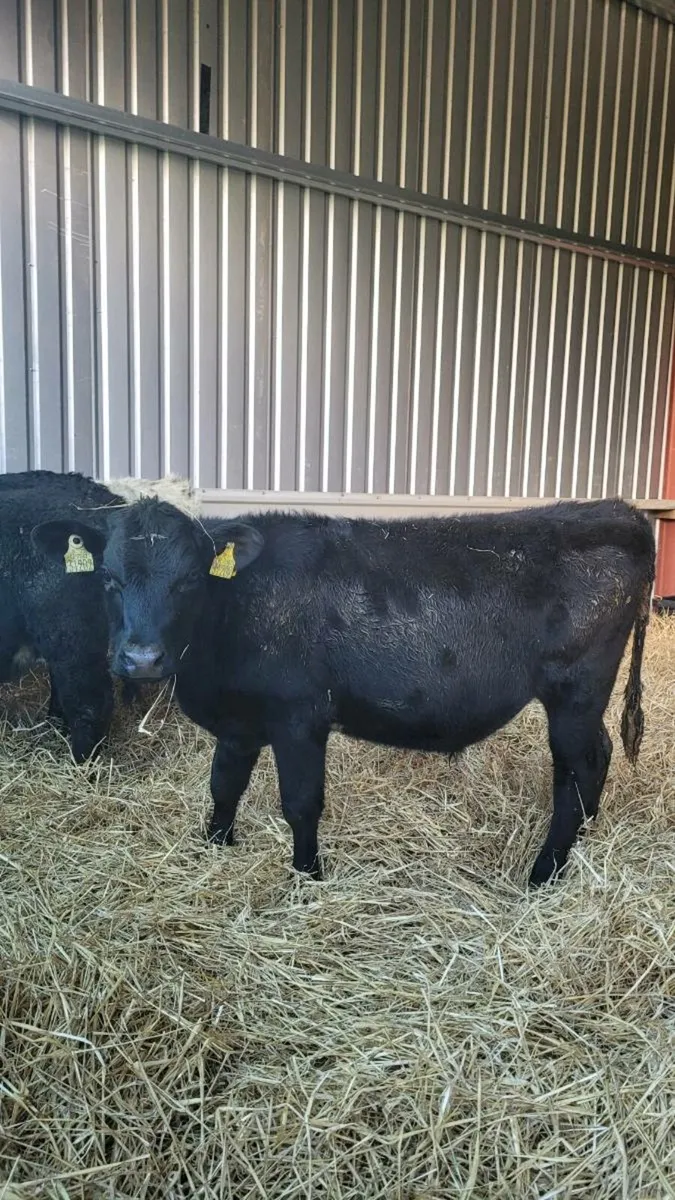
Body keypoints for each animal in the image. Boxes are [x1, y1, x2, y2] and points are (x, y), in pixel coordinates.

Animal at [32, 496, 654, 885]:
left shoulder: (298, 716)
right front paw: (214, 848)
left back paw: (543, 874)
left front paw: (306, 876)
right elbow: (223, 786)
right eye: (108, 578)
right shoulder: (239, 723)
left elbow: (300, 802)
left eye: (187, 581)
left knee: (581, 766)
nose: (141, 659)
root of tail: (617, 511)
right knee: (590, 764)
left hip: (574, 692)